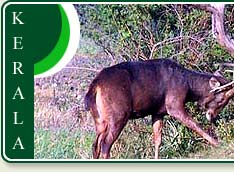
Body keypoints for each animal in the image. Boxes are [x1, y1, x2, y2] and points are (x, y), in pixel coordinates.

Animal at [84, 58, 234, 159]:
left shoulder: (157, 112)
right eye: (222, 99)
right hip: (119, 115)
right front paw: (218, 143)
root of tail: (95, 86)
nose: (212, 117)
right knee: (105, 144)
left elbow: (157, 140)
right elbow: (195, 125)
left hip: (100, 120)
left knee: (95, 145)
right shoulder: (174, 105)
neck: (188, 86)